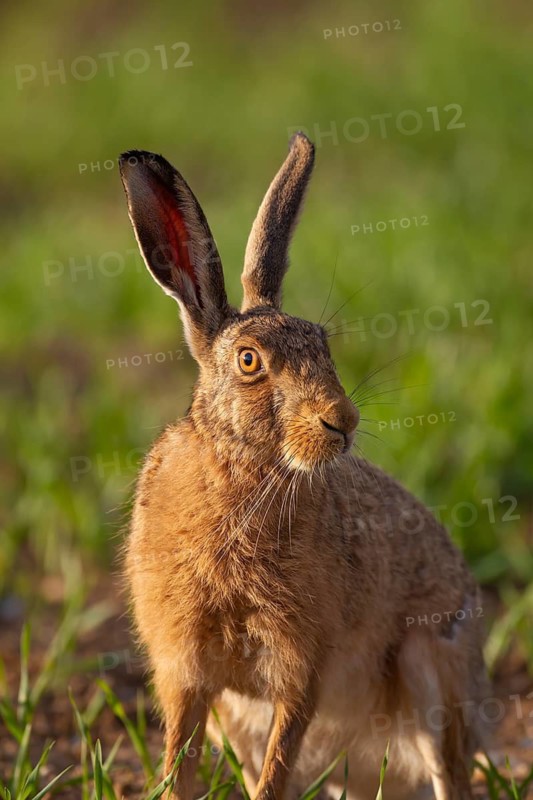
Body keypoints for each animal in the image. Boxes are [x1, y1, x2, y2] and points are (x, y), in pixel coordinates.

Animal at [119, 133, 489, 800]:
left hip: (432, 669)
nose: (343, 421)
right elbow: (179, 766)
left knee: (448, 771)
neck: (244, 472)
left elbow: (276, 770)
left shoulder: (300, 670)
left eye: (323, 344)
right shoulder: (187, 672)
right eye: (248, 361)